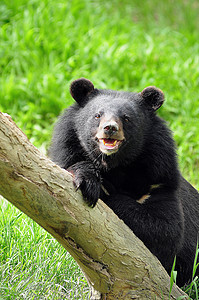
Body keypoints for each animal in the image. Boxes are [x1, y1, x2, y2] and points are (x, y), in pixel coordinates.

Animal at [49, 77, 198, 286]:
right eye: (97, 115)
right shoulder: (67, 148)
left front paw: (106, 192)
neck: (115, 166)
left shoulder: (160, 180)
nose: (110, 128)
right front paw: (89, 183)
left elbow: (166, 230)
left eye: (126, 118)